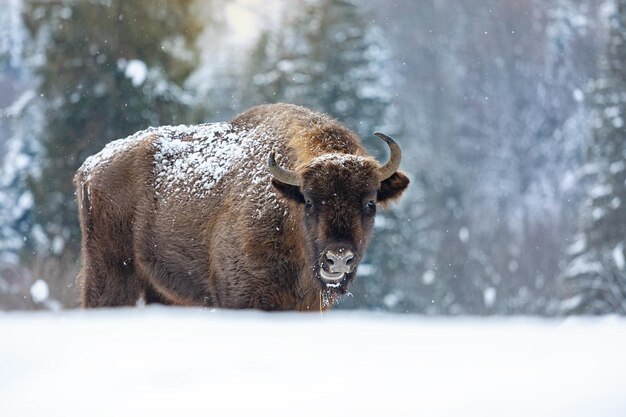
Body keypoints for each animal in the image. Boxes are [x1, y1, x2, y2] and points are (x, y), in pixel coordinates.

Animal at [75, 103, 408, 310]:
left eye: (369, 202)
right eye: (310, 201)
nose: (338, 258)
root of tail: (90, 167)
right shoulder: (241, 297)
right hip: (110, 271)